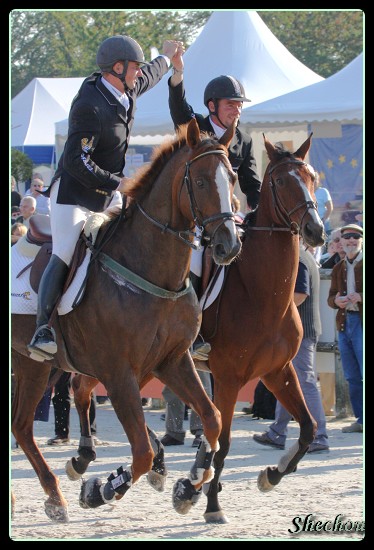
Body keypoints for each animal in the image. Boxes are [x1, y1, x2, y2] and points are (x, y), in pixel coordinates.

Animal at [11, 118, 241, 524]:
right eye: (200, 182)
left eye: (231, 178)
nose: (228, 245)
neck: (151, 270)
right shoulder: (119, 373)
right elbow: (141, 452)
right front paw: (101, 490)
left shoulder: (171, 360)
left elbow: (212, 419)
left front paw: (191, 483)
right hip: (33, 363)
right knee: (26, 424)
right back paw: (61, 493)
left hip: (31, 364)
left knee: (22, 425)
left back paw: (55, 495)